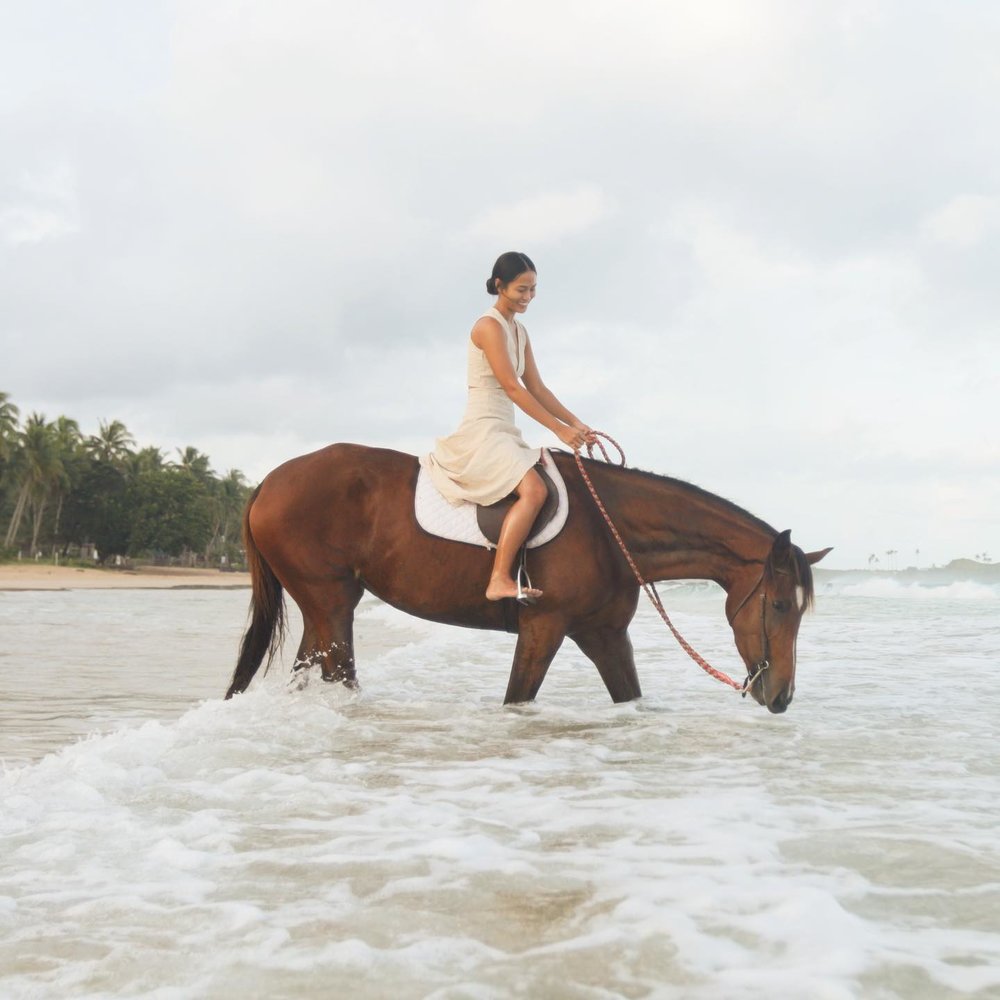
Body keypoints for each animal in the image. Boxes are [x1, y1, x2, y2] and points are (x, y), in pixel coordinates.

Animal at [225, 444, 831, 713]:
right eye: (780, 606)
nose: (782, 696)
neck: (608, 528)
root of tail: (269, 481)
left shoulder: (605, 635)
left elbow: (629, 696)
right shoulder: (544, 627)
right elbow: (519, 698)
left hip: (323, 607)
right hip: (332, 602)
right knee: (336, 672)